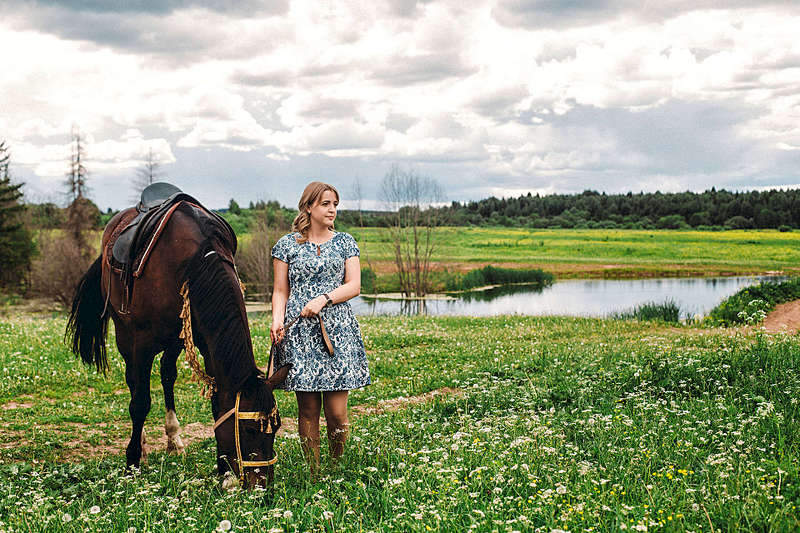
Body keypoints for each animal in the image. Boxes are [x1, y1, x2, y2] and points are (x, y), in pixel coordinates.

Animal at [67, 202, 288, 488]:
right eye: (249, 429)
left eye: (276, 428)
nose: (262, 486)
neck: (195, 262)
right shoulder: (140, 343)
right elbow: (140, 403)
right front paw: (132, 463)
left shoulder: (204, 344)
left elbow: (217, 403)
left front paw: (224, 472)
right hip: (125, 335)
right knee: (134, 382)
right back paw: (142, 444)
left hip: (175, 340)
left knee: (167, 374)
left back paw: (174, 439)